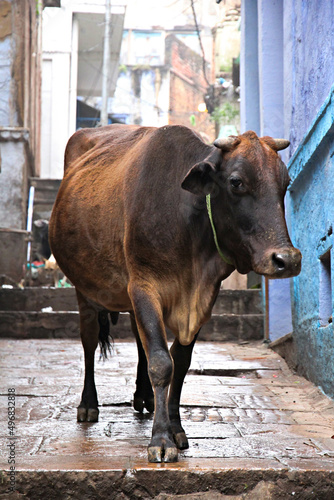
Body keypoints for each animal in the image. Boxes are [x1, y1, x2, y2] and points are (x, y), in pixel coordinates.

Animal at [48, 124, 302, 460]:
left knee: (138, 339)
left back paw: (144, 397)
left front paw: (176, 428)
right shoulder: (144, 286)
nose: (287, 259)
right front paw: (160, 439)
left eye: (285, 183)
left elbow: (178, 362)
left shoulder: (201, 299)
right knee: (89, 342)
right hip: (85, 290)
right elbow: (160, 361)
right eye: (236, 182)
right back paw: (88, 404)